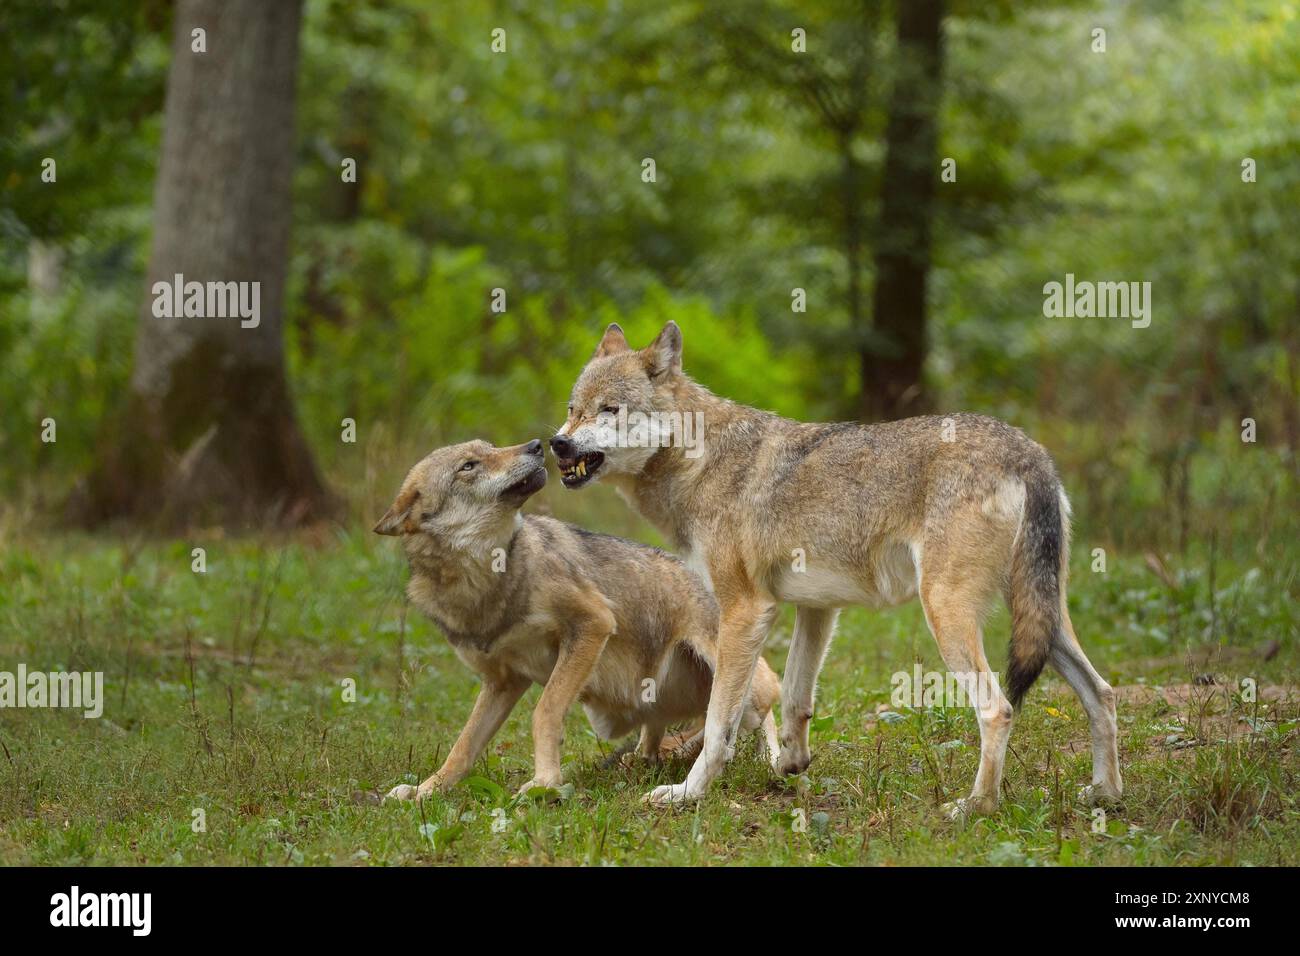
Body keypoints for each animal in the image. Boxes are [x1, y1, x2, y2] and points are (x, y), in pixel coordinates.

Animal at [377, 439, 780, 801]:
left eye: (490, 447)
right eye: (469, 465)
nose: (536, 445)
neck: (489, 580)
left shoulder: (591, 625)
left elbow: (544, 712)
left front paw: (544, 782)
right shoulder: (502, 681)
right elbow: (463, 746)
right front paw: (425, 790)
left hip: (735, 674)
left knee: (752, 711)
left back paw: (770, 761)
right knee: (661, 736)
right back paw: (648, 759)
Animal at [553, 321, 1123, 816]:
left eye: (610, 409)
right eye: (573, 409)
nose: (557, 442)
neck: (699, 460)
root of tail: (1028, 451)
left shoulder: (743, 611)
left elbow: (719, 723)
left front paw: (687, 794)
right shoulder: (816, 608)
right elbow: (793, 699)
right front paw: (790, 764)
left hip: (947, 613)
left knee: (999, 710)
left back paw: (974, 808)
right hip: (1044, 620)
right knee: (1103, 694)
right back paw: (1106, 795)